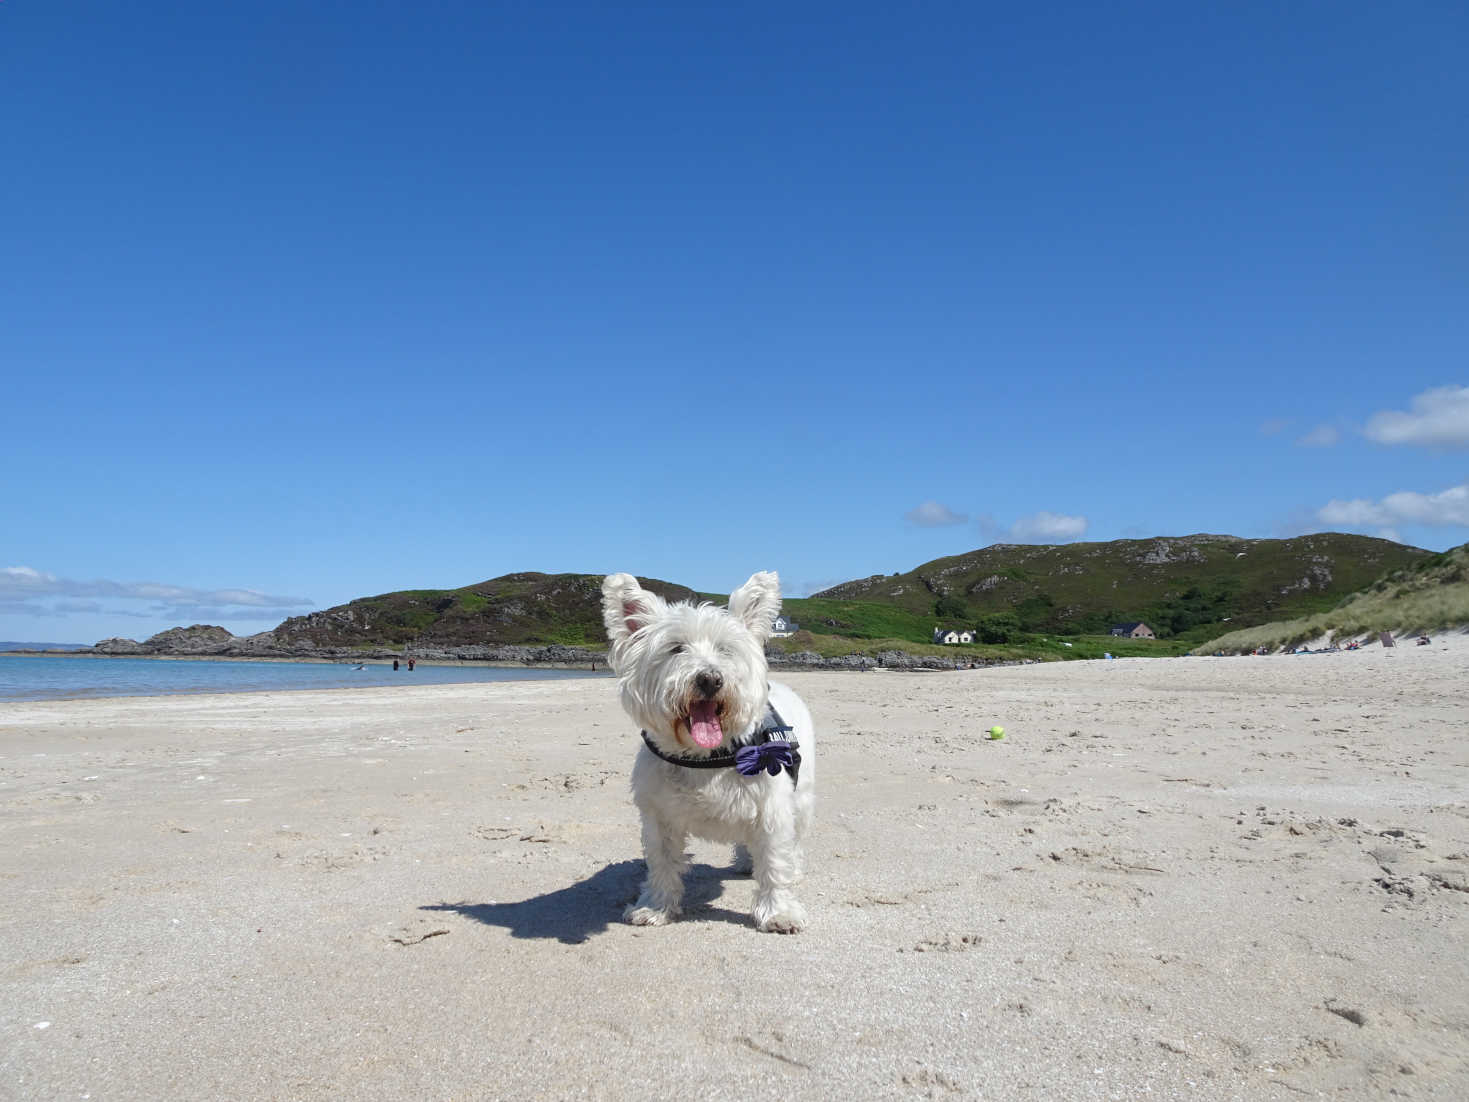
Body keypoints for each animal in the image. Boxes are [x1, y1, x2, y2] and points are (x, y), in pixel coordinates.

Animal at [602, 573, 822, 934]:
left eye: (725, 649)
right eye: (676, 648)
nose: (709, 679)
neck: (705, 758)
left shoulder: (772, 811)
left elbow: (775, 861)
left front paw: (779, 913)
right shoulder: (658, 817)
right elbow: (662, 863)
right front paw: (655, 907)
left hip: (801, 797)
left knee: (795, 840)